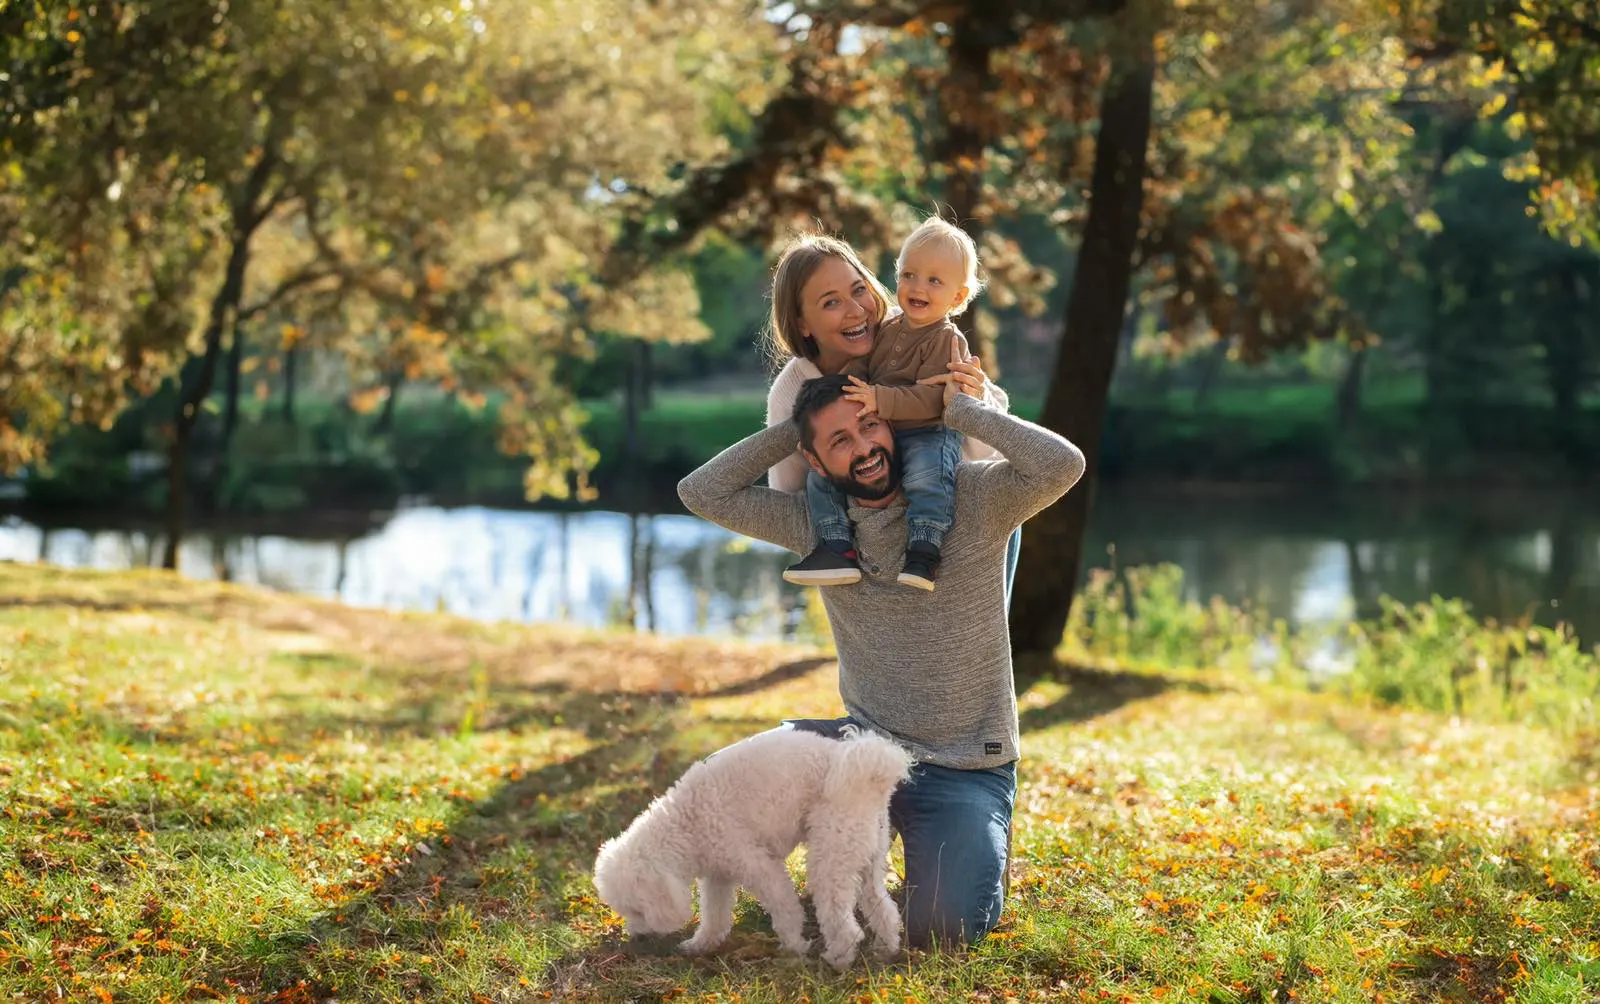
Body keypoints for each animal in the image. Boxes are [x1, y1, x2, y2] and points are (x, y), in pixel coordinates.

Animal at [592, 725, 921, 965]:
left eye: (637, 910)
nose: (636, 937)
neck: (686, 824)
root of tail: (872, 771)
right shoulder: (717, 875)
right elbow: (714, 916)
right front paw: (700, 945)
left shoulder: (759, 865)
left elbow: (785, 907)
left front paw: (793, 947)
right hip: (867, 856)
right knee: (883, 908)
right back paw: (886, 949)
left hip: (832, 853)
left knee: (845, 924)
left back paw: (838, 958)